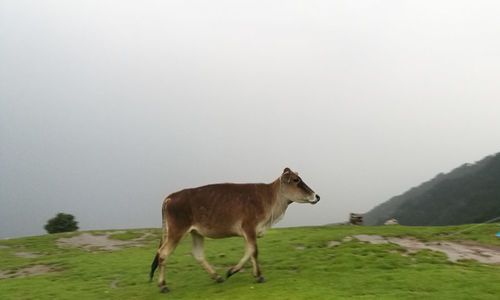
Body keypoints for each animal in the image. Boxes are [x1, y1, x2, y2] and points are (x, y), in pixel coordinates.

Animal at [149, 168, 320, 294]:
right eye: (296, 180)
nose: (317, 196)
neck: (270, 199)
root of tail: (170, 197)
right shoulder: (249, 227)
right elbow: (254, 251)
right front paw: (260, 276)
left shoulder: (248, 232)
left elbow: (249, 252)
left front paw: (232, 271)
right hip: (176, 231)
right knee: (162, 254)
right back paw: (163, 285)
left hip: (196, 232)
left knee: (197, 254)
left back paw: (217, 276)